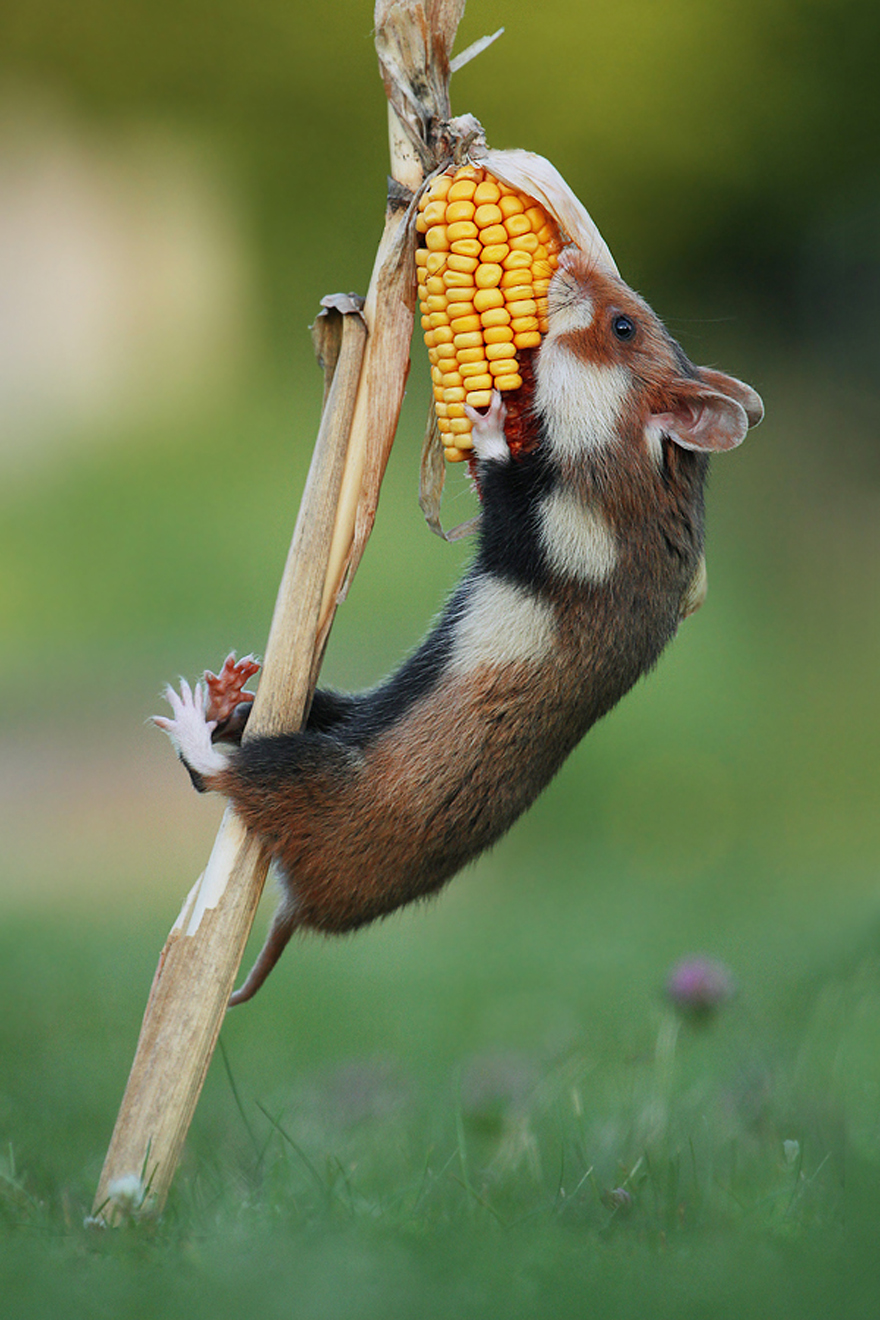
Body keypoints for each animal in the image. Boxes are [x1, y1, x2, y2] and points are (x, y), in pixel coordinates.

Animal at [154, 249, 763, 1004]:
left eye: (622, 327)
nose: (570, 254)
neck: (632, 457)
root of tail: (301, 910)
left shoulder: (555, 528)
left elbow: (503, 476)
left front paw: (490, 415)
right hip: (328, 711)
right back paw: (225, 692)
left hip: (306, 771)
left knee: (222, 777)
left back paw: (191, 712)